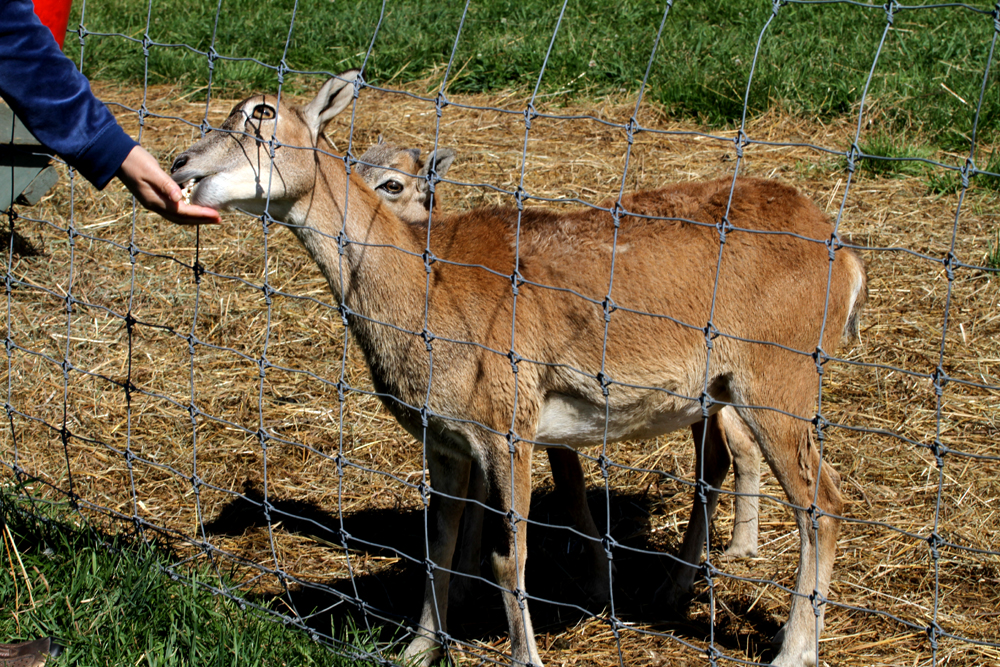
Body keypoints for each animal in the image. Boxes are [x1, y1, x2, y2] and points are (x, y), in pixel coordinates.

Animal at [171, 71, 867, 667]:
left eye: (262, 113)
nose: (182, 165)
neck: (426, 286)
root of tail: (845, 256)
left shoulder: (508, 430)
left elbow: (510, 556)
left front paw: (524, 655)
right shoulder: (446, 441)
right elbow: (440, 546)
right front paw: (418, 650)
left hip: (778, 382)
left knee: (823, 503)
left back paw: (792, 650)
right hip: (722, 392)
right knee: (730, 470)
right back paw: (672, 594)